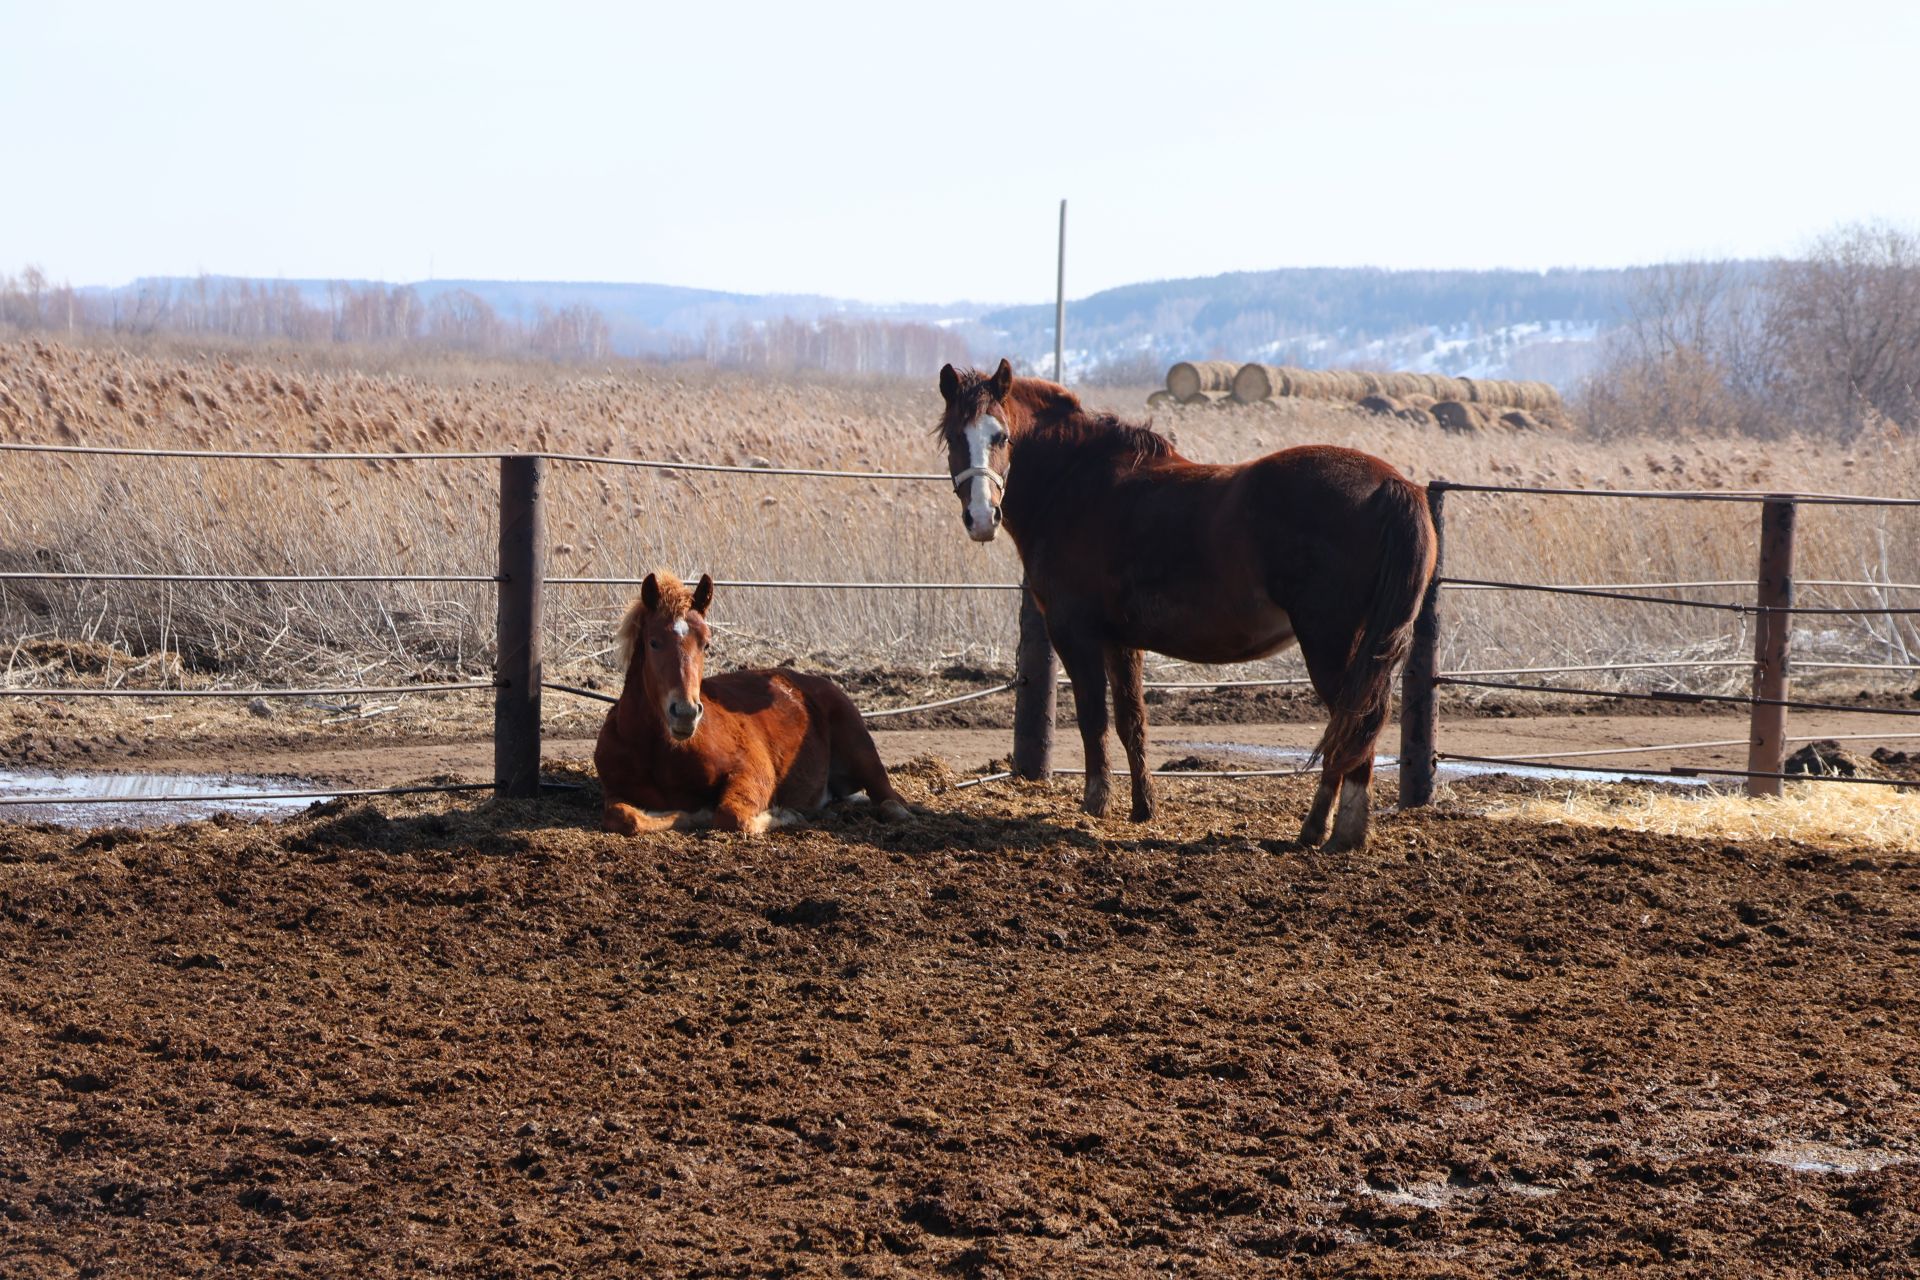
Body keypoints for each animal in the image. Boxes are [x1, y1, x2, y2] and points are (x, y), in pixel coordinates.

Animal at [595, 571, 910, 836]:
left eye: (706, 644)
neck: (659, 750)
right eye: (654, 642)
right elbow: (624, 818)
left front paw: (785, 814)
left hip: (863, 752)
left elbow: (730, 814)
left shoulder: (752, 771)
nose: (685, 713)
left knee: (891, 800)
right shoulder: (615, 791)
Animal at [936, 358, 1436, 852]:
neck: (1076, 484)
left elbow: (1093, 719)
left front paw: (1096, 804)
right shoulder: (1121, 641)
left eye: (1001, 437)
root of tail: (1391, 483)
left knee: (1354, 721)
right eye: (955, 436)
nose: (982, 518)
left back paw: (1332, 830)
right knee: (1354, 727)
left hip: (1330, 641)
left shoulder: (1075, 633)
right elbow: (1132, 722)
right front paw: (1143, 807)